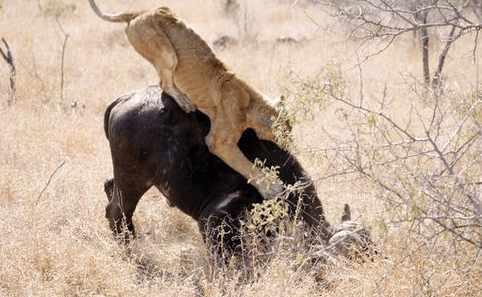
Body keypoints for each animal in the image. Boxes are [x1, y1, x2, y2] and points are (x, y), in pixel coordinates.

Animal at [87, 1, 286, 199]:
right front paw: (273, 188)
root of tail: (139, 12)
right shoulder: (218, 142)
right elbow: (246, 165)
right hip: (166, 53)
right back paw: (185, 102)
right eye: (286, 129)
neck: (251, 103)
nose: (290, 143)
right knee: (164, 82)